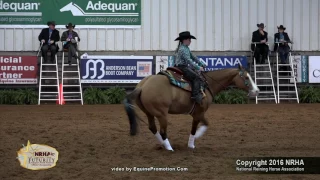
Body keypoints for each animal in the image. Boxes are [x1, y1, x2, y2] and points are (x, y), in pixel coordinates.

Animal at [123, 64, 260, 151]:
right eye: (246, 77)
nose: (257, 91)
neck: (207, 85)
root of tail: (142, 86)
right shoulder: (198, 113)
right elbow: (194, 129)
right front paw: (192, 143)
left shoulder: (199, 113)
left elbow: (206, 123)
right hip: (162, 114)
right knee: (162, 131)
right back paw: (169, 148)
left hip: (149, 113)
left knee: (153, 128)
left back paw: (163, 144)